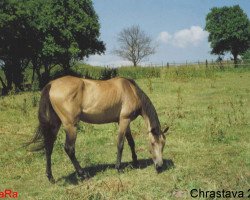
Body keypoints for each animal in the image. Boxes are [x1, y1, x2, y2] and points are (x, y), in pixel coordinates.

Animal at [30, 76, 169, 184]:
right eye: (152, 143)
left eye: (163, 144)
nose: (159, 166)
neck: (132, 91)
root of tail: (51, 84)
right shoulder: (124, 120)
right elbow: (120, 144)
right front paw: (118, 167)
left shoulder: (125, 121)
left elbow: (131, 142)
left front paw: (135, 162)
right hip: (71, 126)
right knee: (69, 149)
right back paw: (82, 173)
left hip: (55, 124)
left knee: (49, 147)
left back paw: (50, 177)